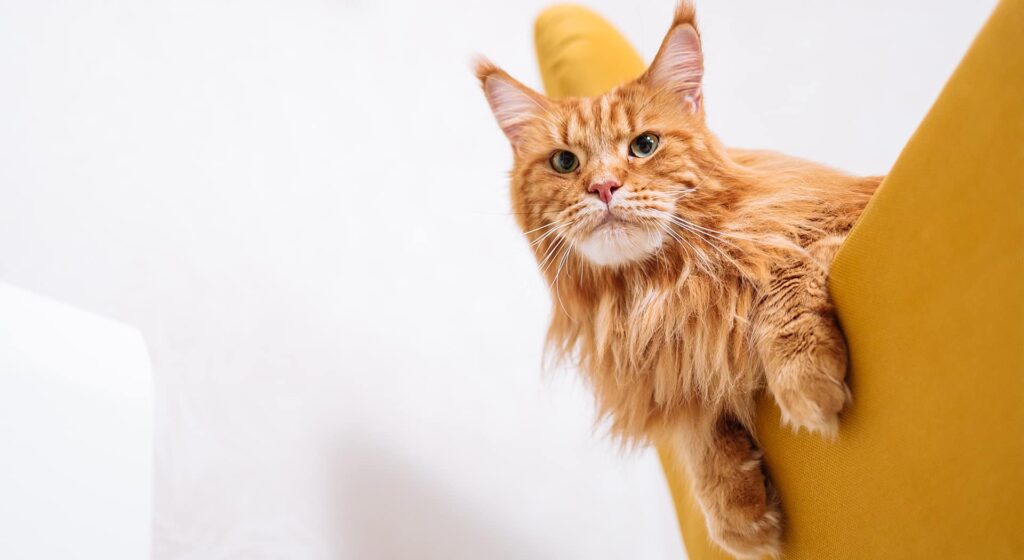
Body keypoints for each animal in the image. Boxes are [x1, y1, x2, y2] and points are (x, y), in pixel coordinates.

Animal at [471, 2, 880, 556]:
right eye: (565, 162)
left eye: (644, 146)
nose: (603, 187)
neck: (661, 286)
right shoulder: (665, 363)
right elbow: (692, 409)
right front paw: (736, 512)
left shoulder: (835, 222)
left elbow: (783, 270)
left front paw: (804, 380)